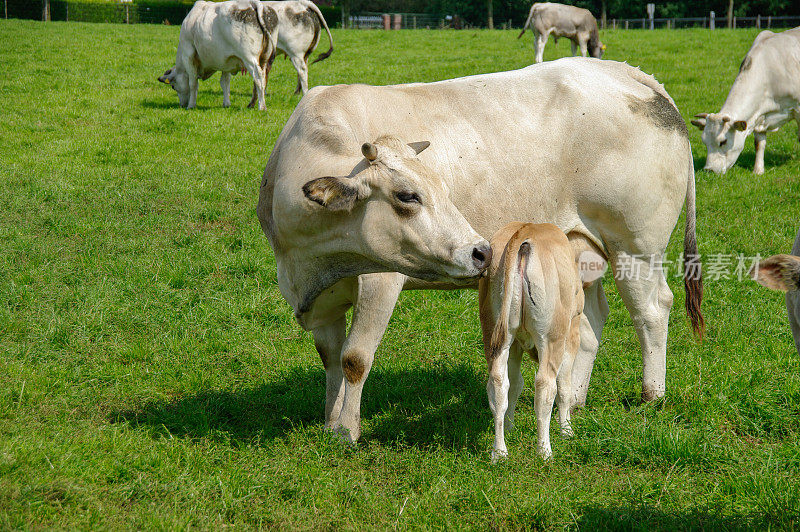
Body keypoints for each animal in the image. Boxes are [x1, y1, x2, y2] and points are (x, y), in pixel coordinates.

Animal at [478, 221, 592, 462]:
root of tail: (526, 230)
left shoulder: (516, 345)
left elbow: (515, 383)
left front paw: (510, 427)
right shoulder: (572, 332)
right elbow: (564, 385)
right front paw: (566, 429)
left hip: (495, 332)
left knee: (498, 383)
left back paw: (499, 452)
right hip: (552, 336)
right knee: (545, 385)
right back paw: (544, 451)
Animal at [688, 27, 800, 175]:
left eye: (723, 142)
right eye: (704, 141)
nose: (709, 170)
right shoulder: (760, 114)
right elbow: (759, 143)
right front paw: (758, 170)